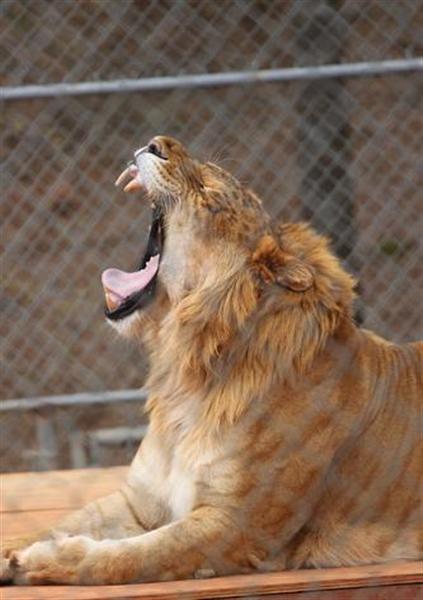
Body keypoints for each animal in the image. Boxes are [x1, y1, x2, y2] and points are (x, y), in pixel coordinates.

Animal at [1, 137, 422, 584]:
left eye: (209, 194)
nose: (156, 143)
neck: (185, 373)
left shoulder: (234, 527)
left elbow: (126, 558)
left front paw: (44, 561)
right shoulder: (140, 503)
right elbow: (64, 522)